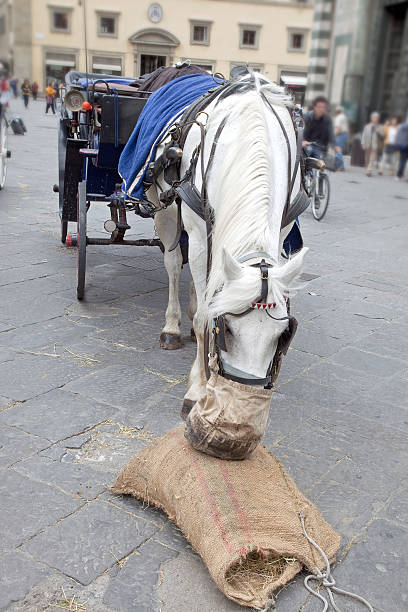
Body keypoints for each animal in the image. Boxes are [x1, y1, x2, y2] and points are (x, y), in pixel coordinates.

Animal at [150, 75, 306, 420]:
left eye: (282, 336)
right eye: (228, 329)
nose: (242, 401)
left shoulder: (281, 229)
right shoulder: (196, 232)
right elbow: (203, 317)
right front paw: (197, 390)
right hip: (164, 209)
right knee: (173, 264)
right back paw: (172, 327)